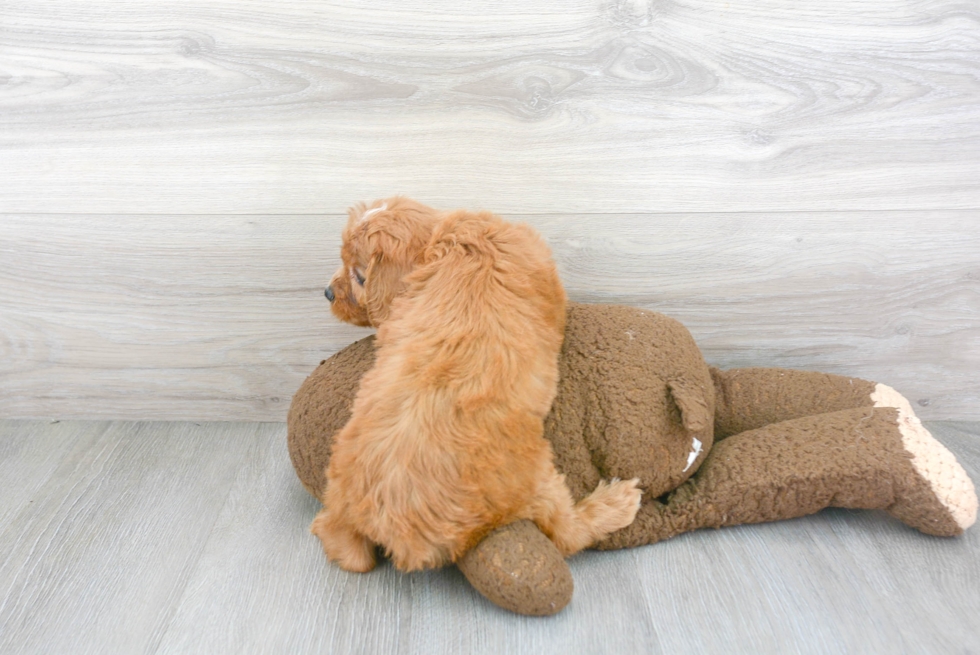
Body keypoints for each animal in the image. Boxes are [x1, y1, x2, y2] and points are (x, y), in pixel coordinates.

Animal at [312, 197, 644, 572]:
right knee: (566, 534)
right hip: (534, 481)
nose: (327, 292)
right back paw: (616, 503)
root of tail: (378, 518)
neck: (443, 239)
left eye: (359, 276)